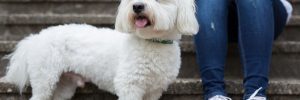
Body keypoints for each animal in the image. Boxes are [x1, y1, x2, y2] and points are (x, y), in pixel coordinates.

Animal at [0, 0, 199, 99]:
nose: (137, 6)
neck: (152, 42)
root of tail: (36, 37)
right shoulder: (129, 85)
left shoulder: (154, 91)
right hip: (45, 78)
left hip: (64, 85)